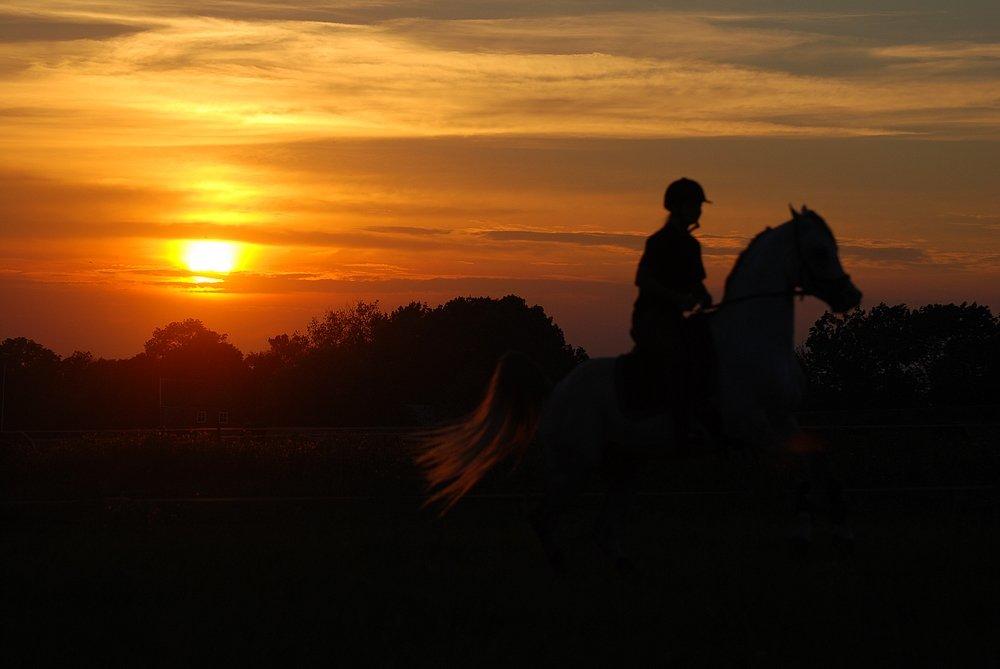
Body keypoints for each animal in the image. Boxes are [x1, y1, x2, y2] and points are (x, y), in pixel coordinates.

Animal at [418, 205, 864, 568]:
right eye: (819, 251)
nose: (850, 295)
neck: (752, 337)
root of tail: (554, 389)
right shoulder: (754, 428)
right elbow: (804, 472)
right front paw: (805, 535)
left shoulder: (783, 420)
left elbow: (821, 465)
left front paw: (837, 532)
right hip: (573, 466)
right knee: (543, 517)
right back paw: (562, 564)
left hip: (626, 466)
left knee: (601, 528)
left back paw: (621, 564)